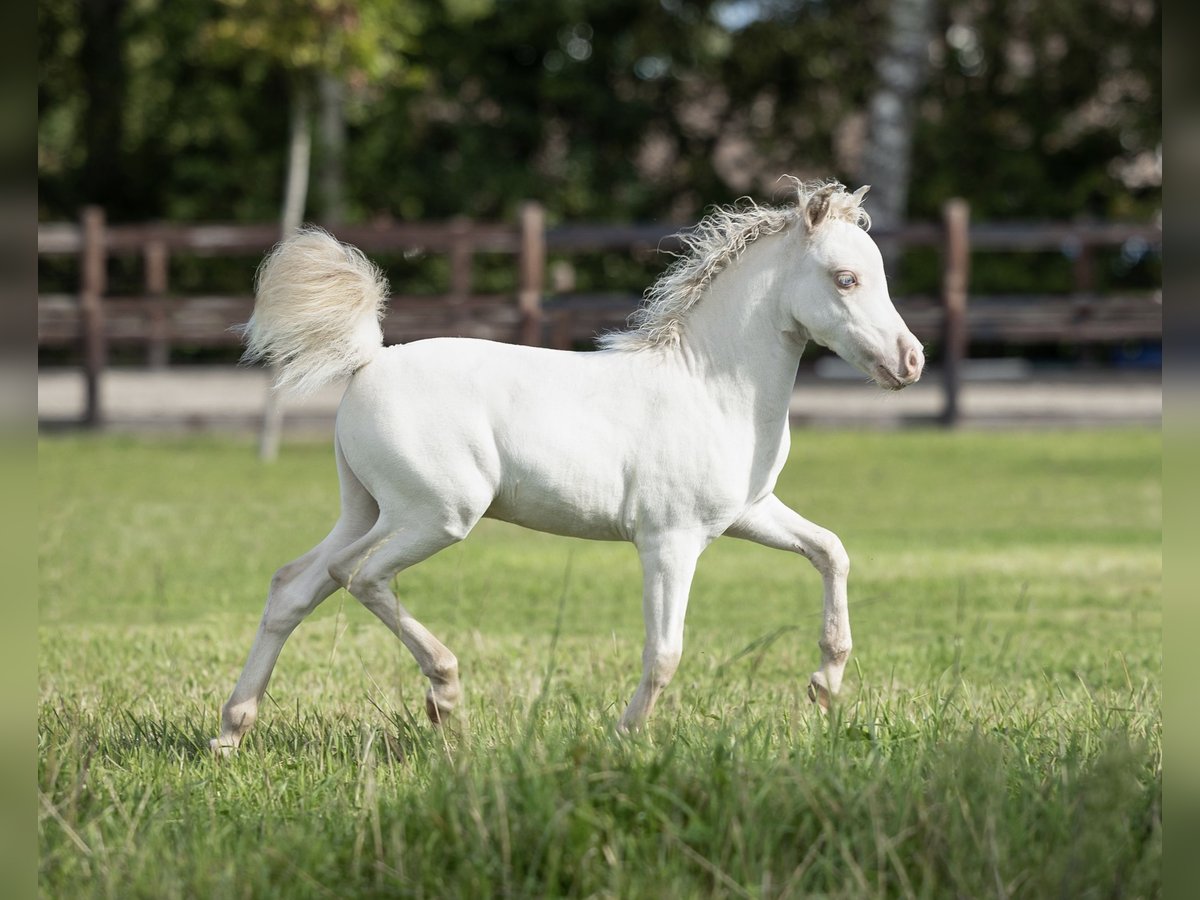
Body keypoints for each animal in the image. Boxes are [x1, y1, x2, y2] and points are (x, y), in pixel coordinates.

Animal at [211, 177, 921, 753]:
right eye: (846, 278)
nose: (910, 361)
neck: (711, 387)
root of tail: (369, 359)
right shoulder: (669, 541)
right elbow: (665, 652)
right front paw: (625, 737)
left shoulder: (748, 513)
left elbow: (831, 551)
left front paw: (825, 684)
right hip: (437, 515)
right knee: (357, 576)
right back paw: (445, 696)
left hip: (367, 508)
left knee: (295, 585)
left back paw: (231, 731)